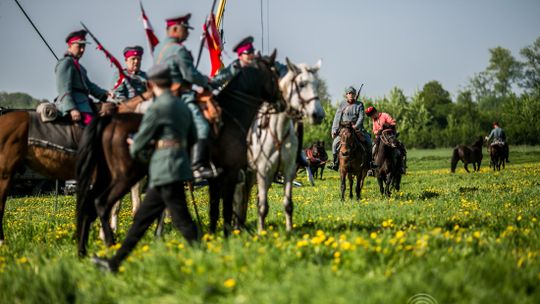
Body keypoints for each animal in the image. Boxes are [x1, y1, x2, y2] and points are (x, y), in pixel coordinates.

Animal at [76, 51, 282, 255]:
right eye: (275, 74)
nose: (281, 103)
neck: (231, 116)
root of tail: (110, 120)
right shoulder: (230, 174)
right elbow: (226, 210)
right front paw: (227, 237)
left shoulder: (217, 179)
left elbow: (214, 210)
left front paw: (213, 238)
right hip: (125, 176)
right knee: (102, 204)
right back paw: (111, 244)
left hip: (106, 176)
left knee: (90, 205)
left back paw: (84, 250)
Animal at [233, 58, 324, 232]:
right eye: (301, 84)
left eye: (317, 84)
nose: (318, 115)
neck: (278, 132)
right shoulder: (264, 171)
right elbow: (262, 206)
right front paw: (261, 232)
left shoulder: (288, 170)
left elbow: (288, 204)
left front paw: (289, 230)